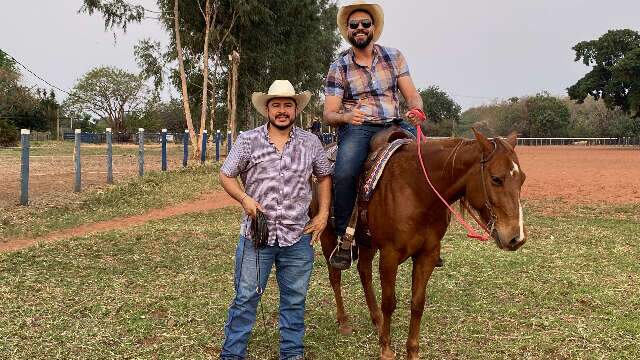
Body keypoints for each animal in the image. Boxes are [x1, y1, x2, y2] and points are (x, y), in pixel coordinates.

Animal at [312, 128, 528, 358]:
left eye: (522, 179)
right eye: (496, 179)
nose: (516, 237)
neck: (417, 191)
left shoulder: (428, 254)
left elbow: (417, 303)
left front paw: (412, 351)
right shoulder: (389, 254)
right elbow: (389, 302)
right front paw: (386, 349)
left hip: (367, 242)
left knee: (364, 272)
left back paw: (377, 320)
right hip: (327, 235)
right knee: (335, 277)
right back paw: (344, 321)